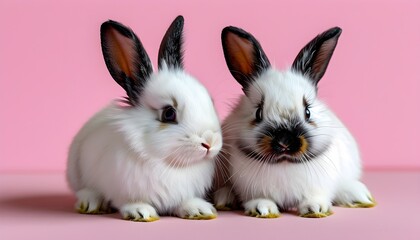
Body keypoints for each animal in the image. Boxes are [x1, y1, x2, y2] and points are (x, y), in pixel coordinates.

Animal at [66, 15, 223, 221]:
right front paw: (140, 212)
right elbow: (130, 201)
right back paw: (90, 203)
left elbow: (184, 201)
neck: (166, 163)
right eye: (168, 113)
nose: (210, 142)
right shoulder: (123, 190)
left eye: (210, 100)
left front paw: (199, 210)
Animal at [215, 26, 376, 218]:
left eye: (308, 112)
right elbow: (259, 198)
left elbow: (315, 196)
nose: (285, 141)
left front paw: (315, 209)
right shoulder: (251, 188)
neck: (285, 163)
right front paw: (262, 209)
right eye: (258, 112)